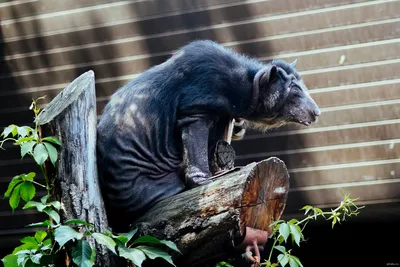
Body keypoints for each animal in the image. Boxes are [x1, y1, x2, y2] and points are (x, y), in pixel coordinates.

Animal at [96, 40, 318, 232]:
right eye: (295, 93)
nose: (317, 112)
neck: (246, 87)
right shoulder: (197, 102)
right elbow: (195, 135)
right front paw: (208, 180)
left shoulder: (223, 112)